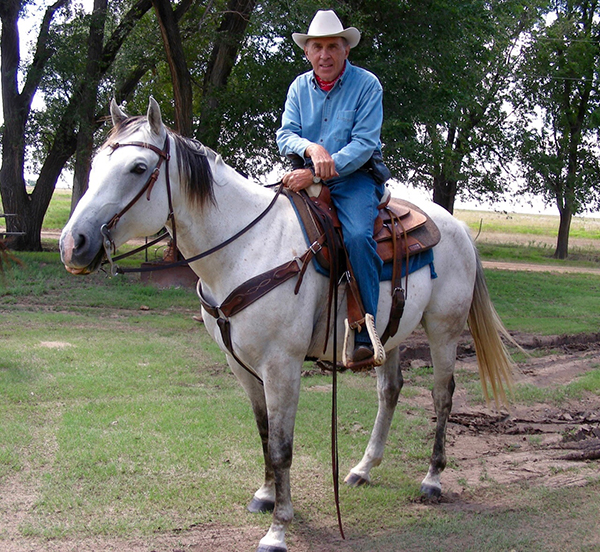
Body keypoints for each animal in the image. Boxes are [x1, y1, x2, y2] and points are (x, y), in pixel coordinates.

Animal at [61, 99, 516, 552]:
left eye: (138, 167)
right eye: (98, 163)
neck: (244, 248)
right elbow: (265, 433)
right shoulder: (241, 365)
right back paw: (364, 468)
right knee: (390, 390)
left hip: (444, 330)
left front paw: (278, 528)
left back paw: (433, 479)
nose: (72, 244)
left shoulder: (282, 365)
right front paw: (266, 496)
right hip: (390, 331)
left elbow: (282, 447)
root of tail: (457, 227)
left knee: (442, 396)